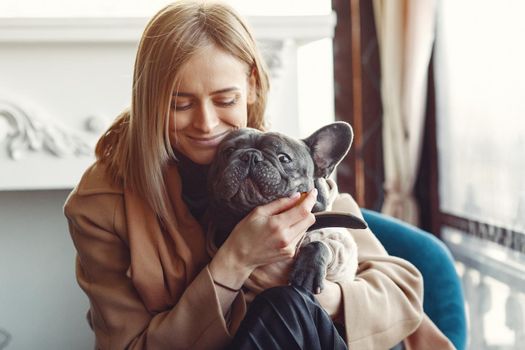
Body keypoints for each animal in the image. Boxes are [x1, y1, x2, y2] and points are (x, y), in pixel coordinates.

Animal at [207, 122, 366, 292]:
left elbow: (320, 244)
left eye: (283, 158)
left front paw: (308, 271)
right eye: (229, 151)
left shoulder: (342, 249)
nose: (250, 156)